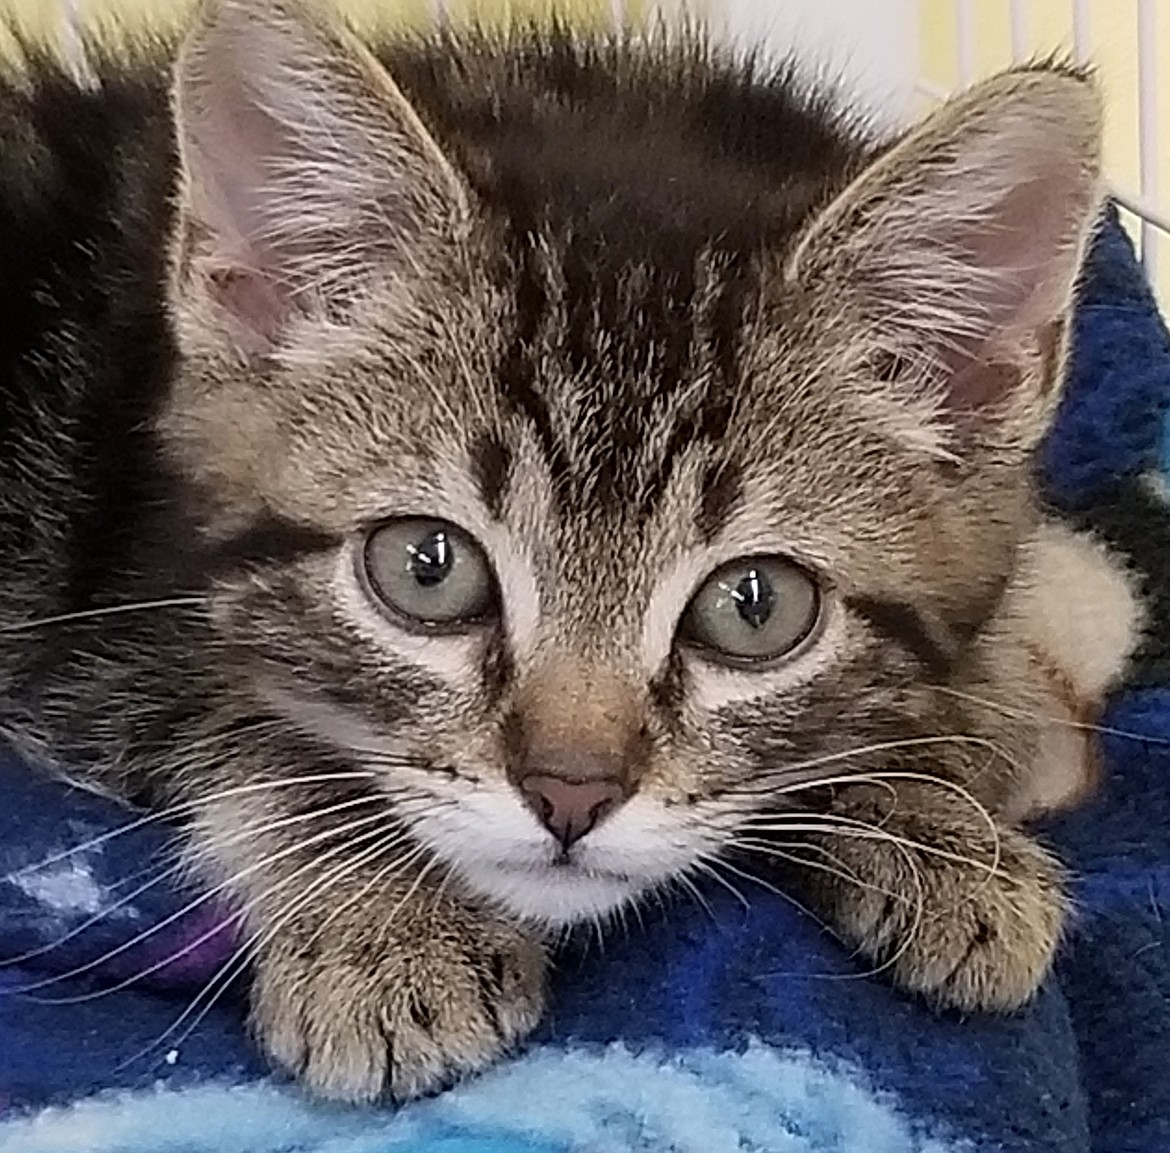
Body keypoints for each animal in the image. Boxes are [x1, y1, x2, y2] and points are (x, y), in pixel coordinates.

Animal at [0, 0, 1141, 1100]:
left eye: (756, 605)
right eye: (426, 567)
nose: (570, 796)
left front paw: (938, 813)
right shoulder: (108, 626)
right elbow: (259, 729)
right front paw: (393, 930)